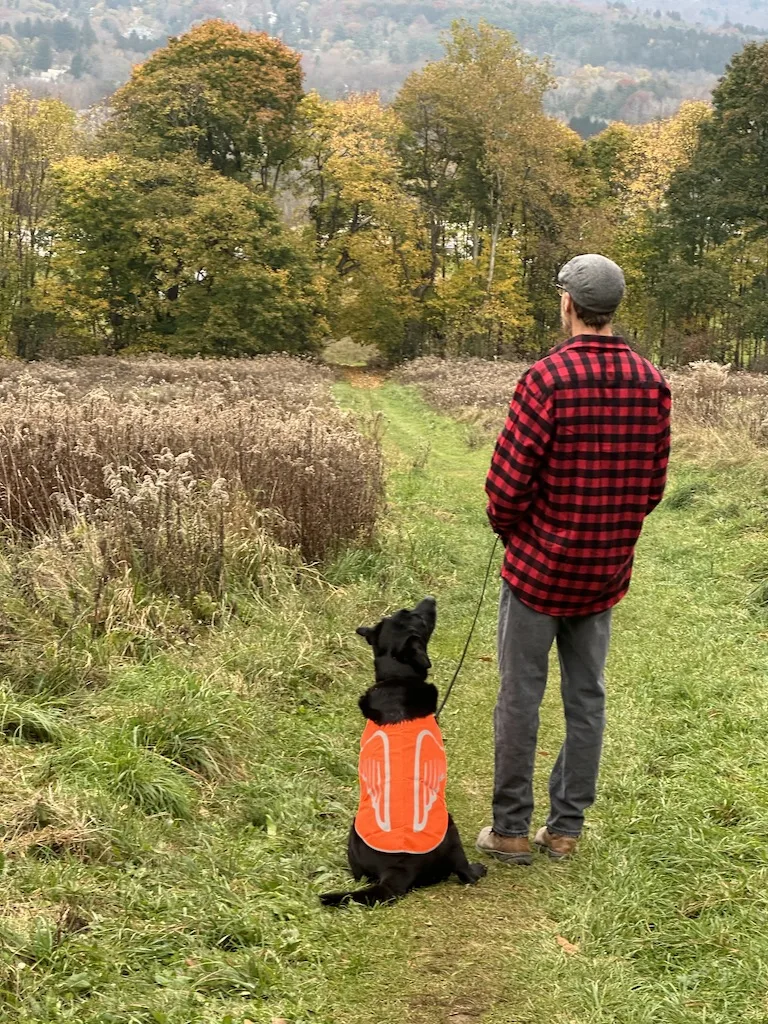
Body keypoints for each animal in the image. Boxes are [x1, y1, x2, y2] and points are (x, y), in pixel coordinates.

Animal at [319, 598, 487, 909]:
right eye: (415, 617)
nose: (430, 599)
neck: (396, 678)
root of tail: (397, 866)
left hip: (353, 836)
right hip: (450, 827)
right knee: (463, 872)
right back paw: (477, 870)